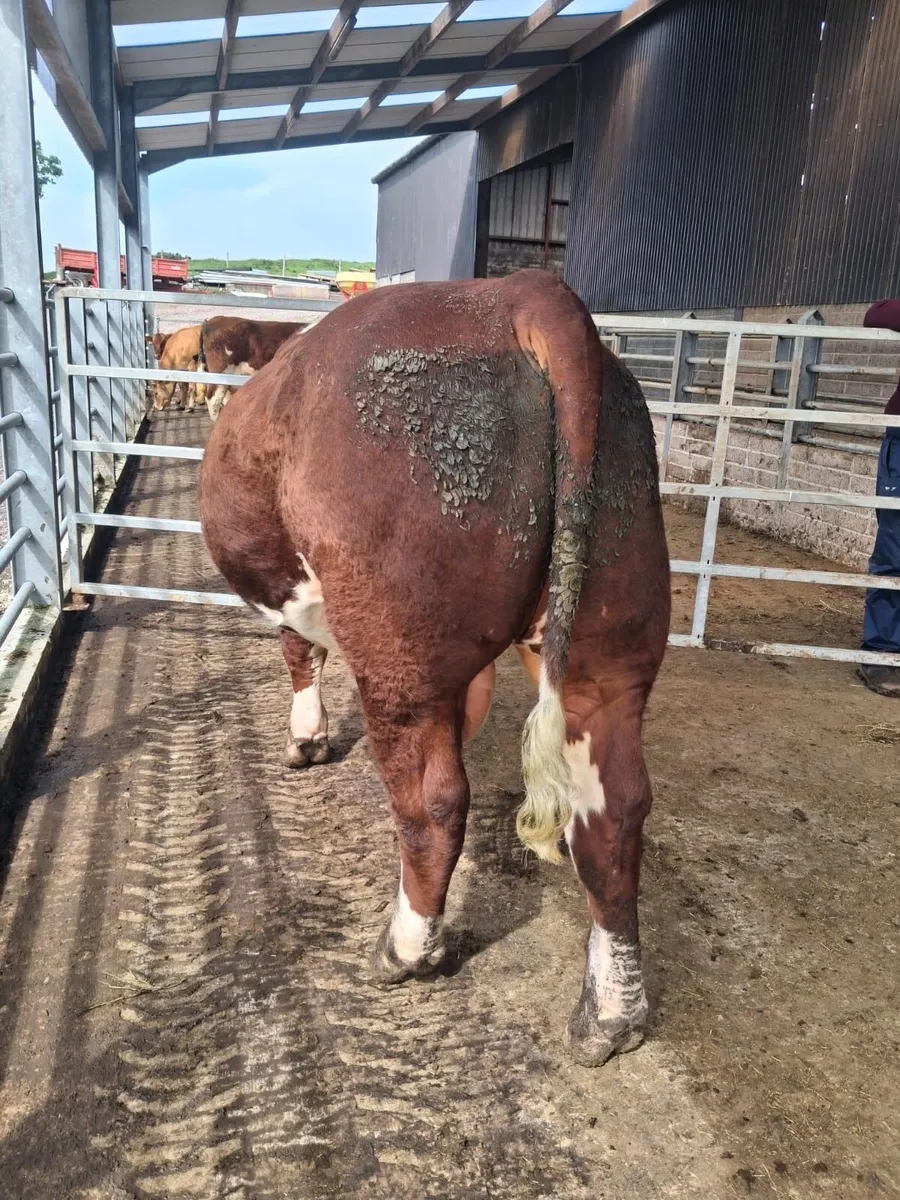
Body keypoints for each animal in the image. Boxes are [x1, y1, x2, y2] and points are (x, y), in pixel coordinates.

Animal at [198, 270, 670, 1067]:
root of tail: (522, 290)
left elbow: (299, 652)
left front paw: (305, 739)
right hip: (609, 641)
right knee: (615, 811)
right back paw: (612, 1013)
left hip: (400, 659)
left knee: (434, 803)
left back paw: (408, 947)